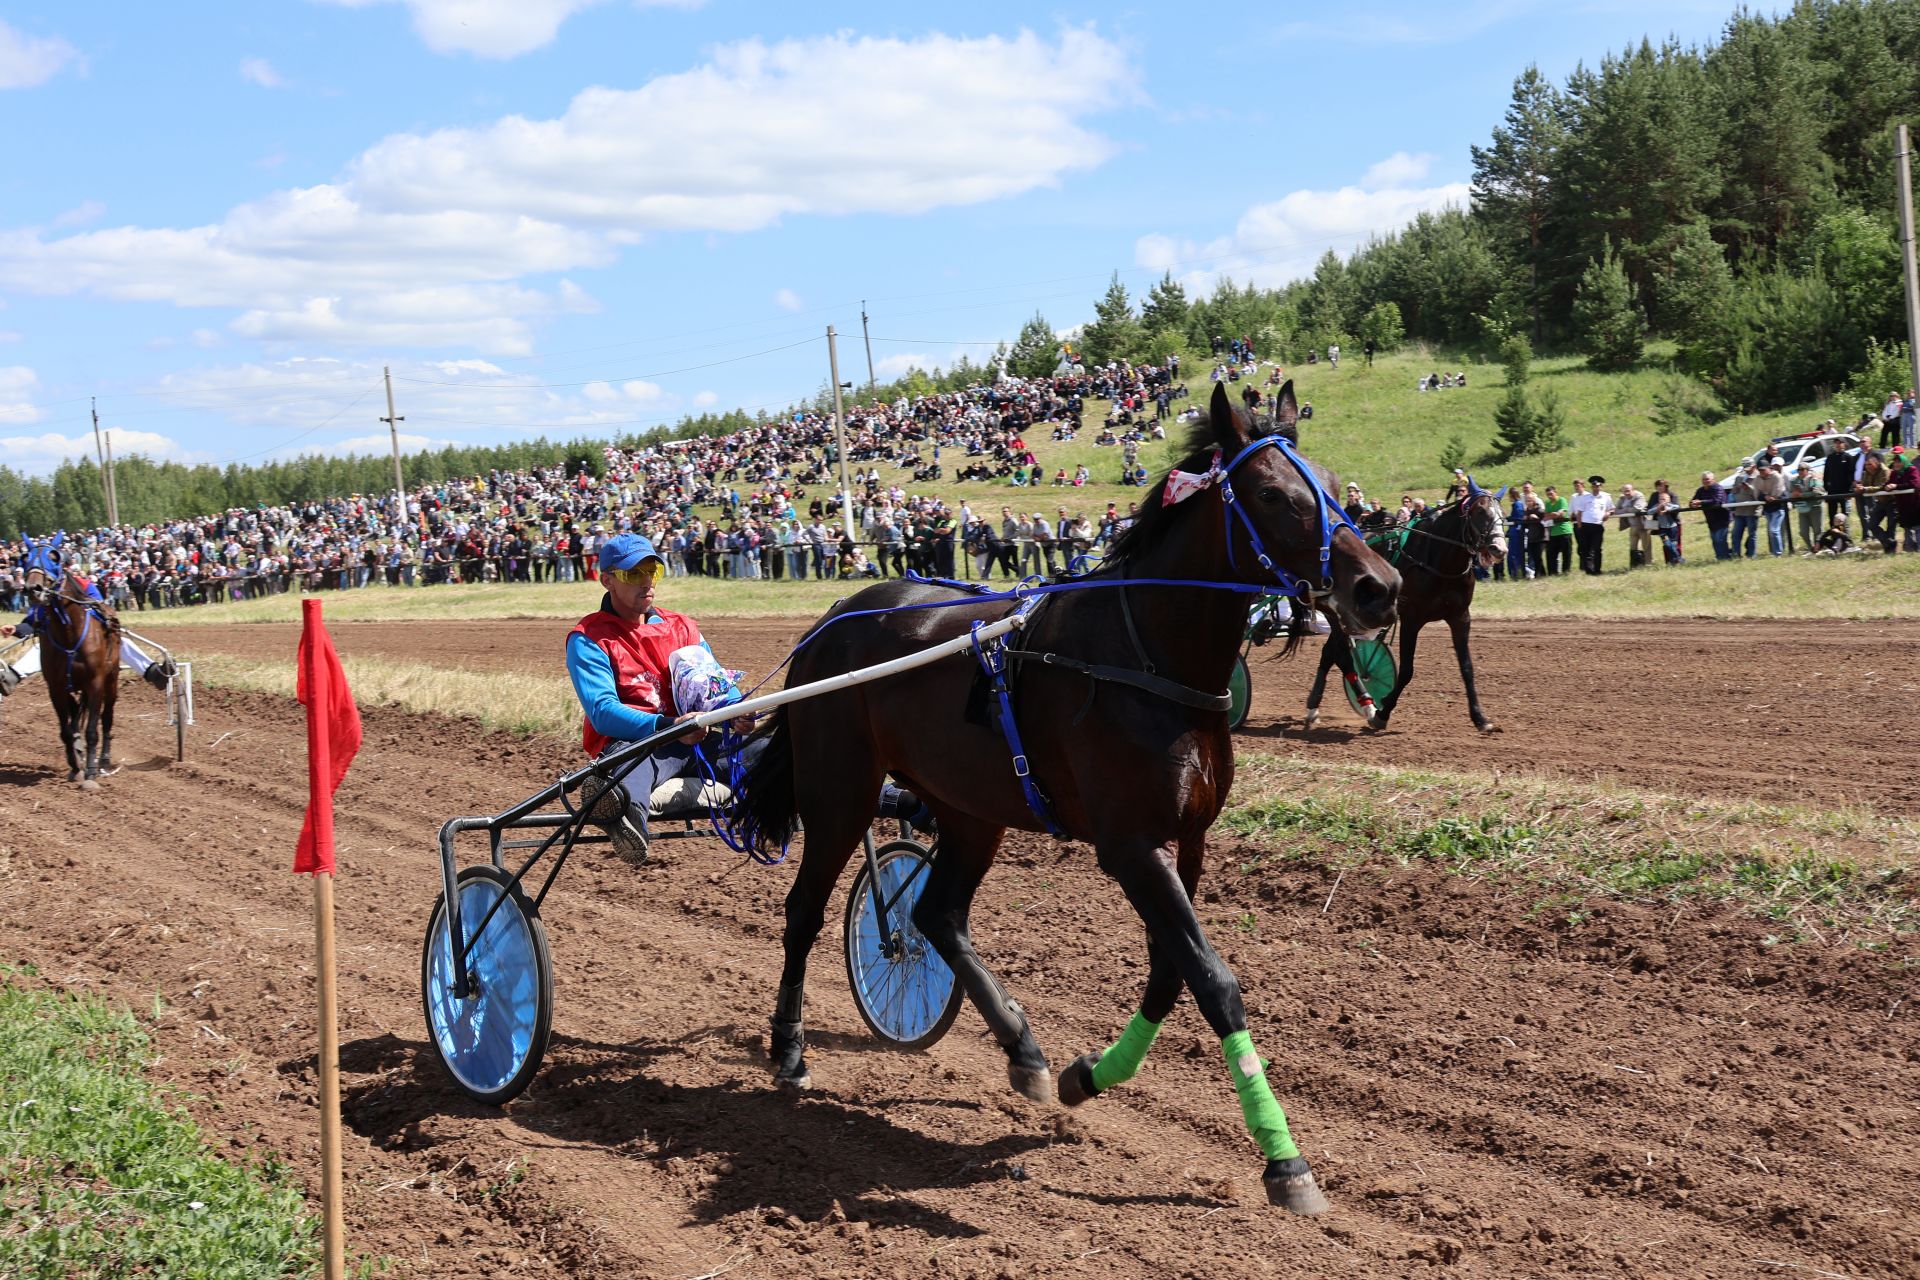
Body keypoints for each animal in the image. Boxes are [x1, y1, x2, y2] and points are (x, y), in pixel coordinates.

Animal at [733, 379, 1397, 1212]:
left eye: (1338, 488)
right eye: (1274, 495)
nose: (1381, 587)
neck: (1143, 655)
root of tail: (828, 623)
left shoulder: (1188, 838)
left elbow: (1170, 972)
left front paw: (1091, 1075)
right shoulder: (1129, 846)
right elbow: (1213, 980)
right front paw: (1284, 1160)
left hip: (969, 808)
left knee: (936, 913)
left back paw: (1023, 1049)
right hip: (840, 794)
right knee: (805, 912)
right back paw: (788, 1049)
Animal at [1313, 485, 1505, 736]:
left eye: (1502, 514)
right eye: (1480, 512)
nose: (1499, 548)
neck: (1437, 560)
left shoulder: (1460, 617)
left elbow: (1467, 669)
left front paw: (1480, 718)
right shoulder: (1411, 618)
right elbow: (1406, 670)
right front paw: (1382, 712)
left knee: (1330, 651)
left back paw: (1314, 707)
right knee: (1338, 652)